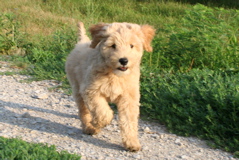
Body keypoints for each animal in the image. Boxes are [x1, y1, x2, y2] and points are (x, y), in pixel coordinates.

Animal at [65, 21, 155, 151]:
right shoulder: (91, 91)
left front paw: (132, 142)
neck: (115, 75)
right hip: (77, 87)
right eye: (113, 45)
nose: (123, 60)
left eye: (131, 46)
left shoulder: (129, 98)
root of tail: (81, 42)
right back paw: (89, 127)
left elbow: (129, 121)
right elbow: (103, 112)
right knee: (83, 110)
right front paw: (97, 124)